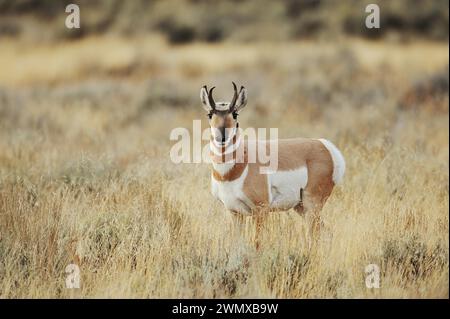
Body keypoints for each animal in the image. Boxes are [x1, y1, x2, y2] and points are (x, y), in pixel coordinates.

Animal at [200, 82, 344, 242]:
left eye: (235, 114)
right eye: (210, 114)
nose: (222, 137)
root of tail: (324, 145)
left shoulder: (261, 211)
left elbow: (257, 242)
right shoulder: (234, 212)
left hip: (311, 205)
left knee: (315, 234)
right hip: (301, 207)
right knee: (326, 231)